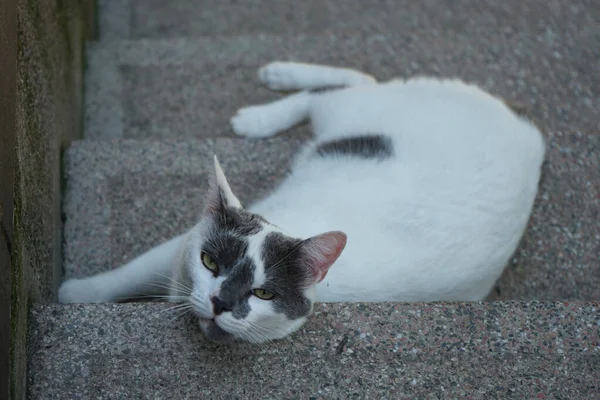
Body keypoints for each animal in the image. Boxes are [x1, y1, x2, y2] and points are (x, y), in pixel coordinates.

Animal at [58, 61, 548, 344]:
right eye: (210, 263)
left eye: (263, 293)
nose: (220, 302)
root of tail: (526, 129)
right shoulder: (182, 245)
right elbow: (128, 273)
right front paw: (77, 292)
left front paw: (71, 295)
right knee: (352, 84)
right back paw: (274, 89)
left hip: (355, 118)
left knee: (346, 89)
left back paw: (263, 112)